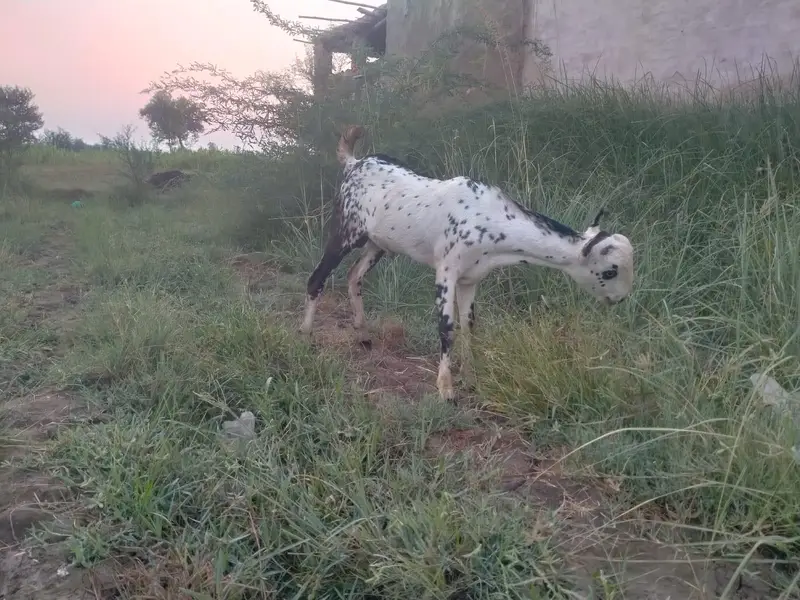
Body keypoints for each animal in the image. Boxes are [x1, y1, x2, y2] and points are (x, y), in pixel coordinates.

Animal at [300, 125, 634, 402]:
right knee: (317, 277)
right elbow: (447, 327)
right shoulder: (446, 271)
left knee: (354, 276)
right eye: (610, 271)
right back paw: (305, 334)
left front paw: (471, 378)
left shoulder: (471, 279)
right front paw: (446, 390)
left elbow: (468, 326)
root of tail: (353, 162)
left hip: (377, 244)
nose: (620, 299)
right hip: (346, 230)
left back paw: (363, 334)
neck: (489, 219)